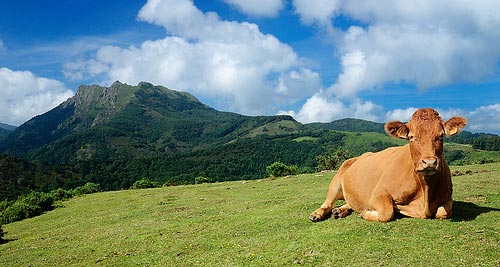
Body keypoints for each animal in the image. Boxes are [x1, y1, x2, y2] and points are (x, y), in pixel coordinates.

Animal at [310, 108, 466, 223]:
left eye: (441, 135)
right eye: (411, 137)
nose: (429, 162)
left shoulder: (448, 198)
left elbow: (444, 212)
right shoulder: (378, 194)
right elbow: (387, 213)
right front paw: (366, 212)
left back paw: (340, 211)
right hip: (336, 181)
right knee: (328, 203)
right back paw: (317, 214)